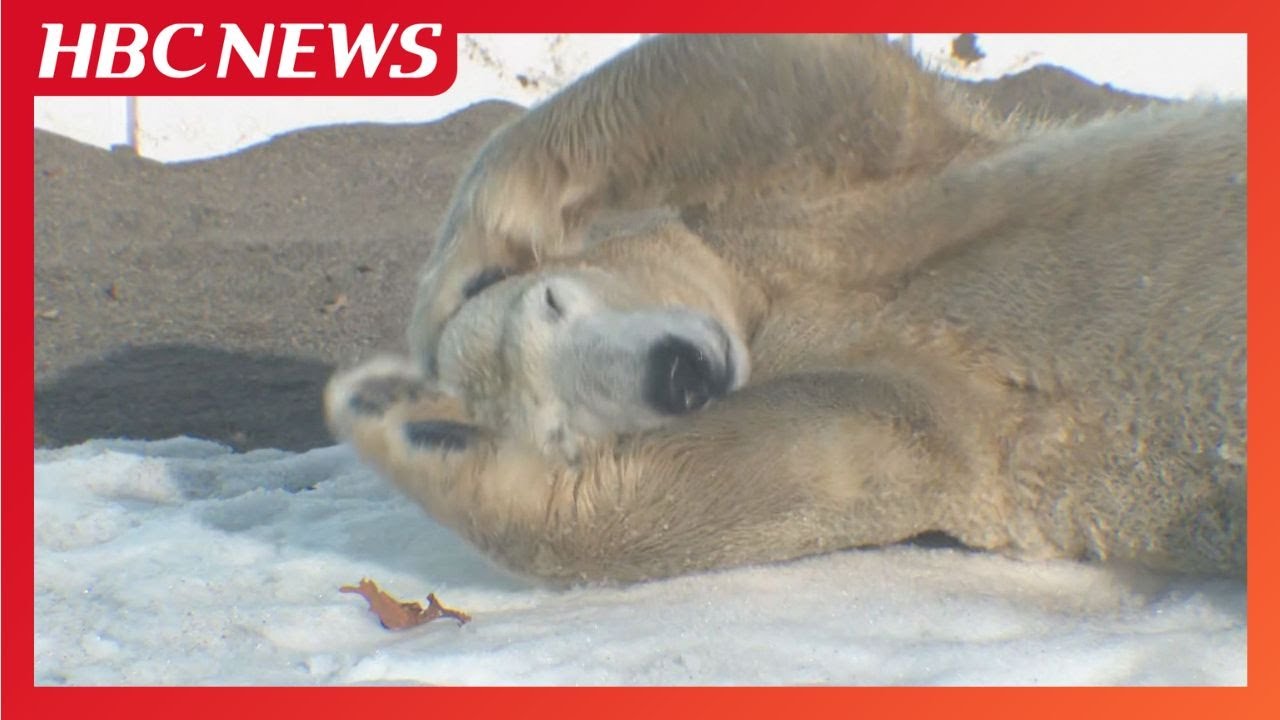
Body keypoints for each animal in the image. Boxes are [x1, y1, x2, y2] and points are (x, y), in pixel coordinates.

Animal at [328, 34, 1246, 584]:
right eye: (563, 431)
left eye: (555, 301)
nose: (677, 374)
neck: (769, 304)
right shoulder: (945, 416)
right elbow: (785, 474)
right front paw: (400, 419)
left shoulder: (846, 207)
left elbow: (807, 84)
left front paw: (468, 263)